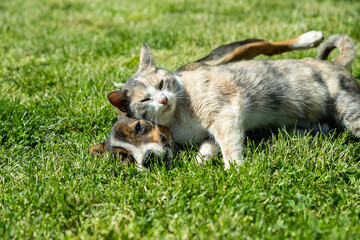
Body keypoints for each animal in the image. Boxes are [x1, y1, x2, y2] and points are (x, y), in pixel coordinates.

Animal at [109, 34, 358, 170]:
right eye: (146, 99)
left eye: (161, 84)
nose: (162, 99)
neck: (177, 118)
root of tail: (335, 65)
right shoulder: (209, 130)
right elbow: (211, 143)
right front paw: (202, 158)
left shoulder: (224, 112)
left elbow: (228, 141)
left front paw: (235, 168)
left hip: (347, 107)